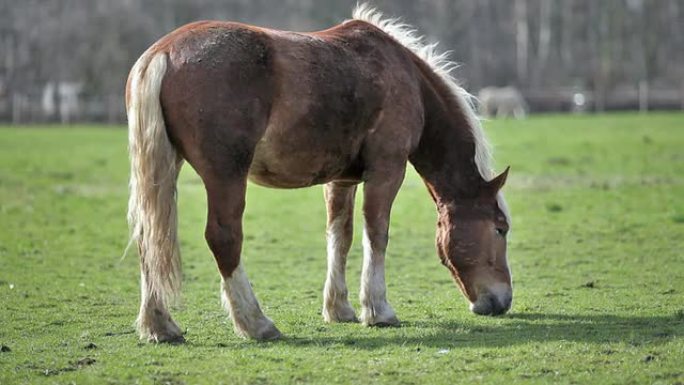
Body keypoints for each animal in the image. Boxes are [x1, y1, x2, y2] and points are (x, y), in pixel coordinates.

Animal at [125, 4, 510, 342]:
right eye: (500, 228)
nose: (503, 300)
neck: (404, 75)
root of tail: (164, 52)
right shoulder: (387, 169)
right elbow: (377, 234)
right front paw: (378, 310)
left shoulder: (341, 179)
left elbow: (340, 237)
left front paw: (339, 308)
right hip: (226, 175)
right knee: (224, 238)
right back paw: (256, 323)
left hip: (165, 169)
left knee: (150, 238)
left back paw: (160, 325)